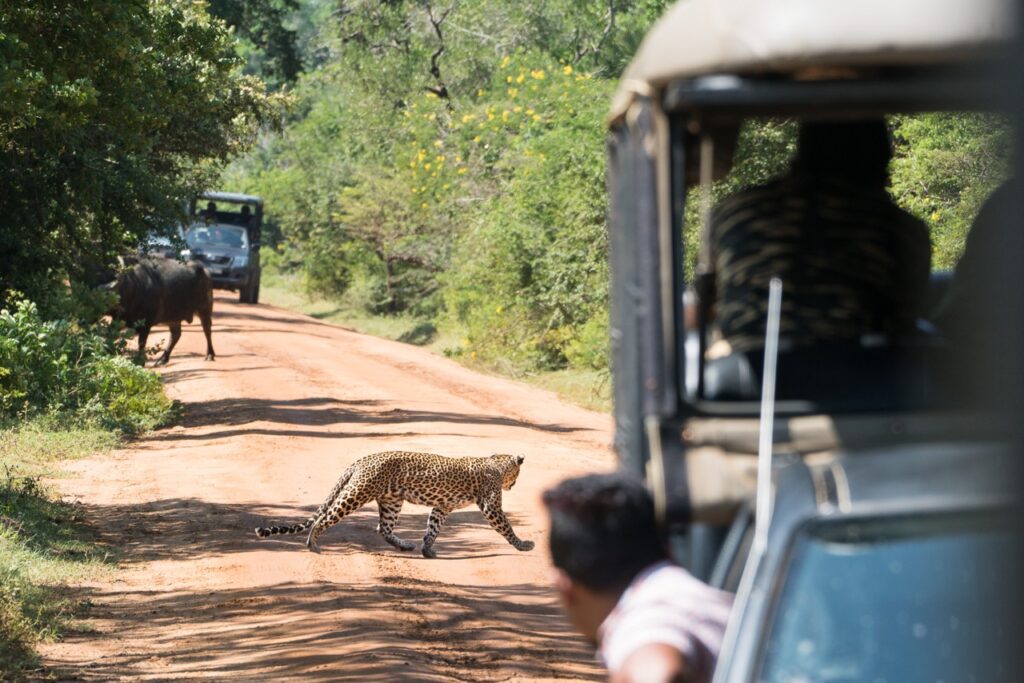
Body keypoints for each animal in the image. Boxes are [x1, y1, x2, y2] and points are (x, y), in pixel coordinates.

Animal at [253, 450, 536, 557]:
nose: (514, 485)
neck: (497, 462)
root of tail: (361, 460)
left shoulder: (442, 507)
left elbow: (433, 528)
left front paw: (427, 549)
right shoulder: (491, 506)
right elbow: (506, 527)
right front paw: (523, 545)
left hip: (391, 501)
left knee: (383, 528)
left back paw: (405, 545)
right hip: (358, 493)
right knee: (326, 517)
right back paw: (312, 544)